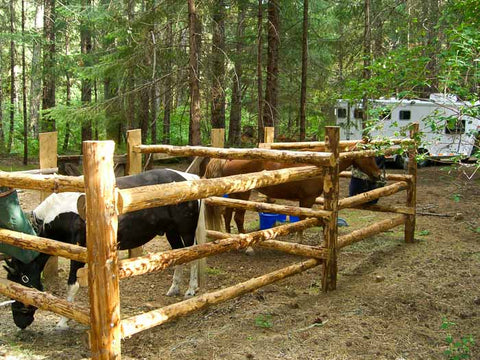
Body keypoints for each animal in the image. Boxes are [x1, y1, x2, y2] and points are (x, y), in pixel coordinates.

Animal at [3, 169, 206, 330]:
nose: (20, 322)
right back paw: (174, 288)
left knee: (194, 255)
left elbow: (72, 285)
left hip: (186, 232)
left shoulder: (78, 255)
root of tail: (190, 178)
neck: (63, 212)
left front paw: (63, 321)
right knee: (179, 255)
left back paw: (191, 289)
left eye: (22, 279)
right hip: (171, 232)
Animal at [204, 156, 384, 243]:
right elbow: (302, 220)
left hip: (233, 195)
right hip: (242, 194)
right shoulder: (307, 199)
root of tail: (228, 159)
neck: (321, 168)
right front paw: (300, 241)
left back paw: (228, 237)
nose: (378, 175)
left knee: (227, 215)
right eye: (368, 157)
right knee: (238, 217)